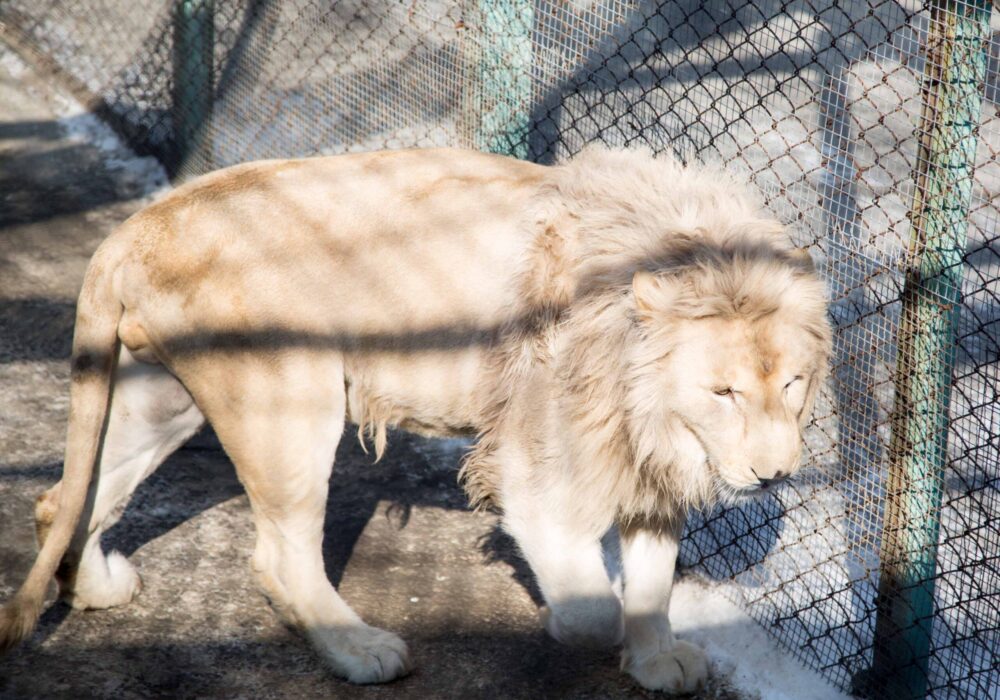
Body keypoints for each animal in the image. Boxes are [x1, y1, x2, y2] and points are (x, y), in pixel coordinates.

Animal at [0, 145, 828, 692]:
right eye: (723, 392)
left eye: (792, 384)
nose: (775, 474)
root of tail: (132, 229)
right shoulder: (537, 462)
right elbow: (593, 599)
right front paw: (572, 622)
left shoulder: (645, 467)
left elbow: (653, 579)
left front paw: (658, 659)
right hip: (291, 396)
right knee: (278, 554)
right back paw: (359, 650)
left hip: (159, 396)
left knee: (66, 496)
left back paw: (95, 585)